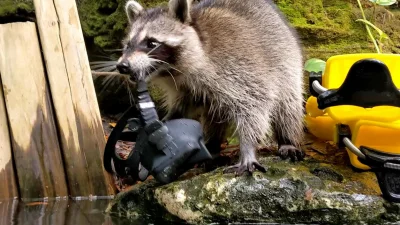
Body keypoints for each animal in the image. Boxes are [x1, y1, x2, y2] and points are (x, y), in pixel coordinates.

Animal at [117, 0, 304, 175]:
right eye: (128, 45)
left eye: (151, 43)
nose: (122, 66)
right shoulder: (183, 89)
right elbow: (180, 110)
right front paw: (163, 122)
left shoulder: (239, 68)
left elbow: (254, 105)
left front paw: (248, 148)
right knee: (214, 115)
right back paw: (212, 145)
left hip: (287, 63)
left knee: (287, 106)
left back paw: (287, 139)